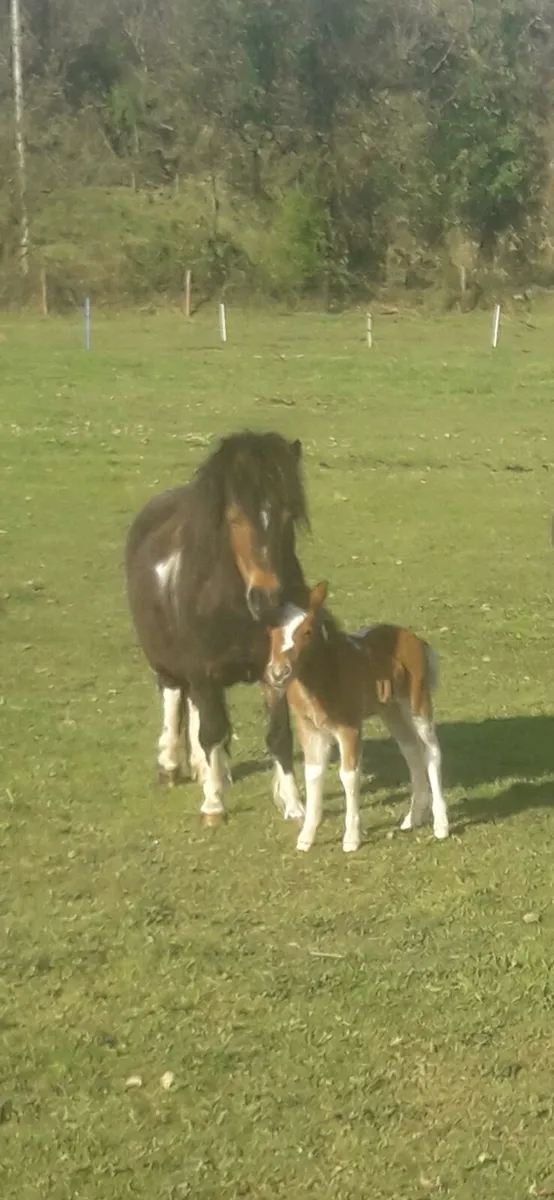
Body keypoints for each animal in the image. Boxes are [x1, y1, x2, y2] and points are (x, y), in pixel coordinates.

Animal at [125, 431, 312, 825]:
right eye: (234, 518)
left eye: (288, 514)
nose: (268, 599)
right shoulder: (202, 670)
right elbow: (210, 732)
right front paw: (213, 805)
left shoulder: (273, 671)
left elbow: (279, 735)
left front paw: (293, 804)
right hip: (167, 661)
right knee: (173, 696)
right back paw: (171, 765)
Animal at [265, 581, 449, 852]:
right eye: (272, 632)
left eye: (307, 631)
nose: (279, 673)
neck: (323, 678)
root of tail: (416, 640)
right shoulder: (310, 731)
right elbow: (313, 775)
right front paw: (306, 838)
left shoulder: (349, 727)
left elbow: (349, 776)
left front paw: (351, 837)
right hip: (391, 710)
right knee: (411, 751)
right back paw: (413, 817)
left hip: (417, 703)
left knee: (432, 751)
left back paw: (441, 824)